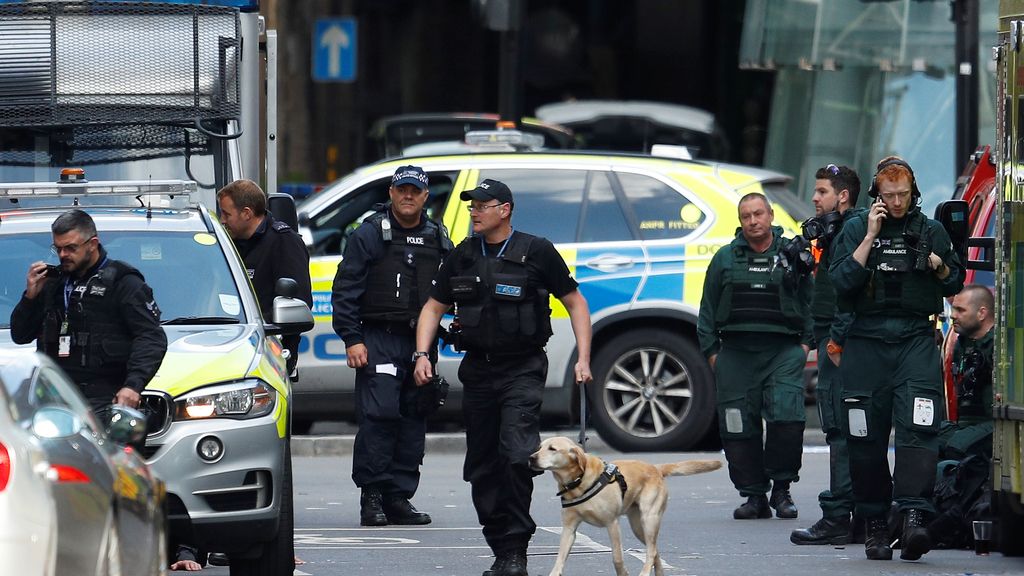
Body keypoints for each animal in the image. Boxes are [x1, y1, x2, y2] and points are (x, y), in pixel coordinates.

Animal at [532, 434, 724, 573]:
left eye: (552, 449)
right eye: (539, 447)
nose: (530, 458)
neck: (578, 482)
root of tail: (656, 468)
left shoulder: (612, 523)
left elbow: (617, 558)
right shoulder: (569, 529)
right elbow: (559, 559)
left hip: (649, 519)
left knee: (651, 551)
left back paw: (645, 573)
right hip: (638, 527)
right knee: (654, 550)